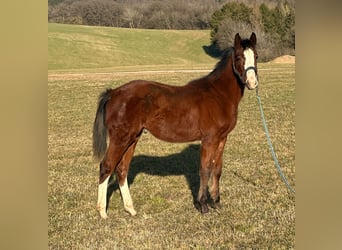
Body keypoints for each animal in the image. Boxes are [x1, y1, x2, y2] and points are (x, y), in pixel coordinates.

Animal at [92, 32, 258, 218]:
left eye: (256, 57)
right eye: (239, 57)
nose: (252, 83)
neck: (218, 94)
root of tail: (113, 93)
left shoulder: (222, 138)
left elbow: (217, 169)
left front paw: (216, 202)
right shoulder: (209, 139)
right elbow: (205, 169)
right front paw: (203, 204)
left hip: (132, 138)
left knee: (121, 169)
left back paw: (130, 209)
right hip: (120, 139)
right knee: (106, 166)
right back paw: (102, 212)